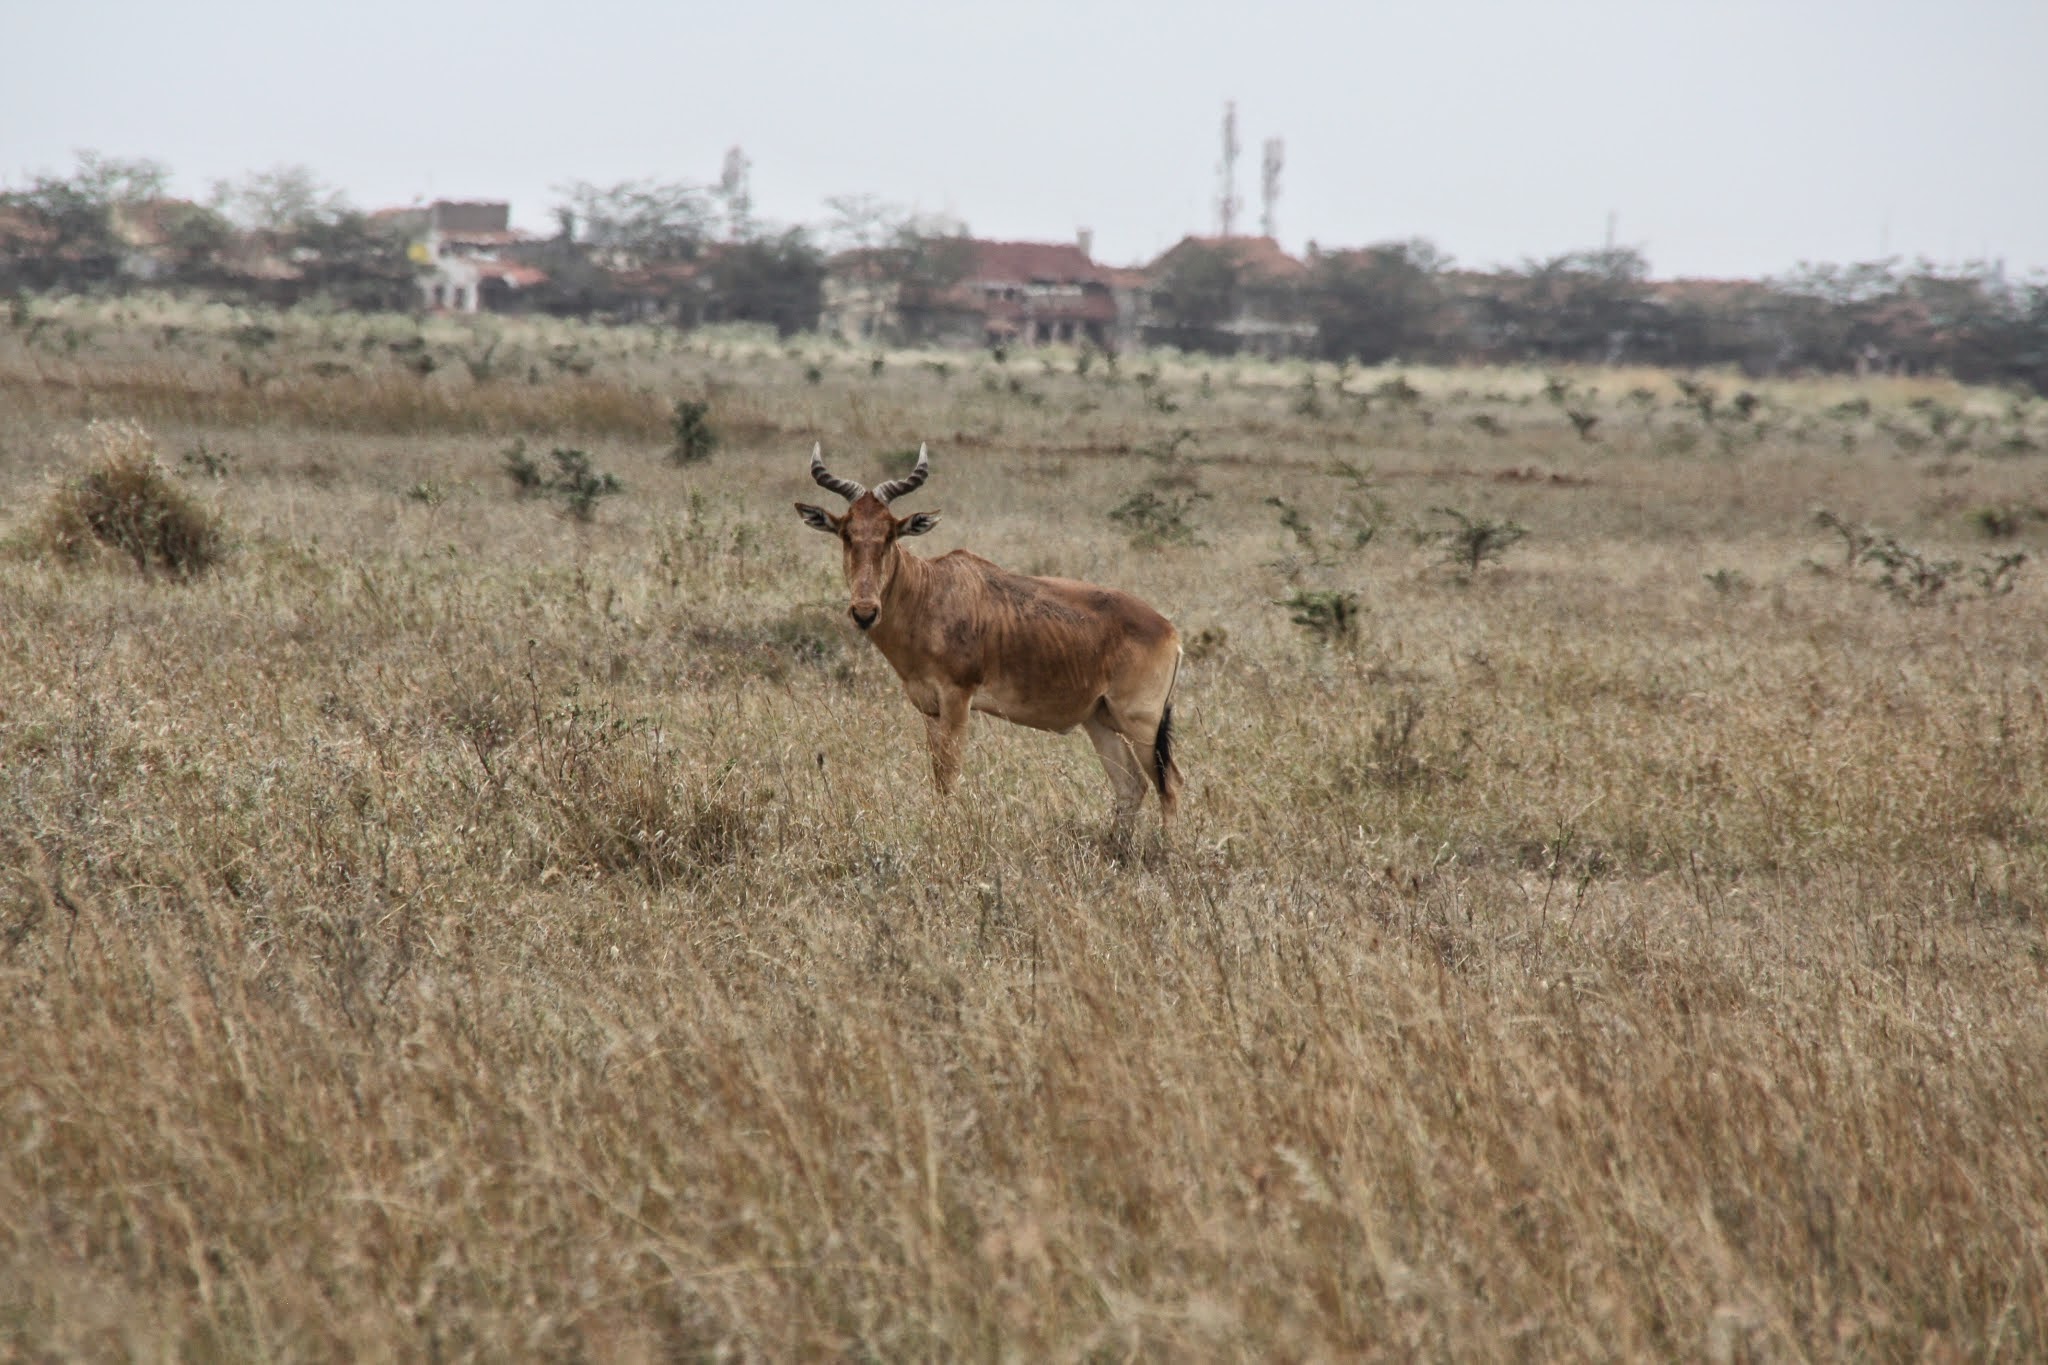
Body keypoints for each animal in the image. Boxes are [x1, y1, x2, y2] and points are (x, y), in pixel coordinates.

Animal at [795, 444, 1184, 839]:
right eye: (846, 533)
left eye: (891, 534)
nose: (865, 612)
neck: (930, 591)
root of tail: (1169, 631)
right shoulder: (929, 708)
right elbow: (936, 776)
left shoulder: (957, 698)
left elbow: (949, 776)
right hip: (1100, 719)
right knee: (1131, 784)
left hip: (1141, 722)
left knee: (1169, 783)